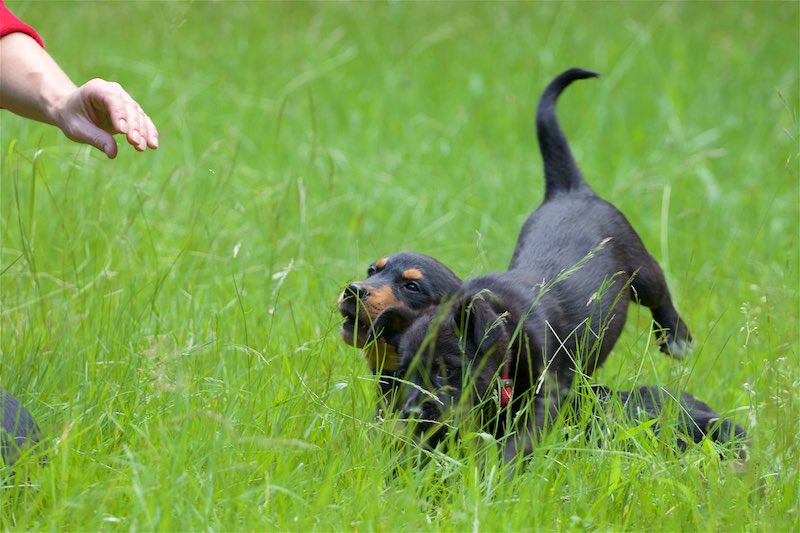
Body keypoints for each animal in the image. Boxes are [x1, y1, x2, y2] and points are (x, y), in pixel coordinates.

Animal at [372, 68, 694, 460]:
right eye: (403, 371)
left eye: (447, 369)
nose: (413, 412)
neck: (507, 330)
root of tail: (570, 189)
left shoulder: (544, 398)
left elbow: (515, 446)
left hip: (638, 264)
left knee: (659, 293)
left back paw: (677, 339)